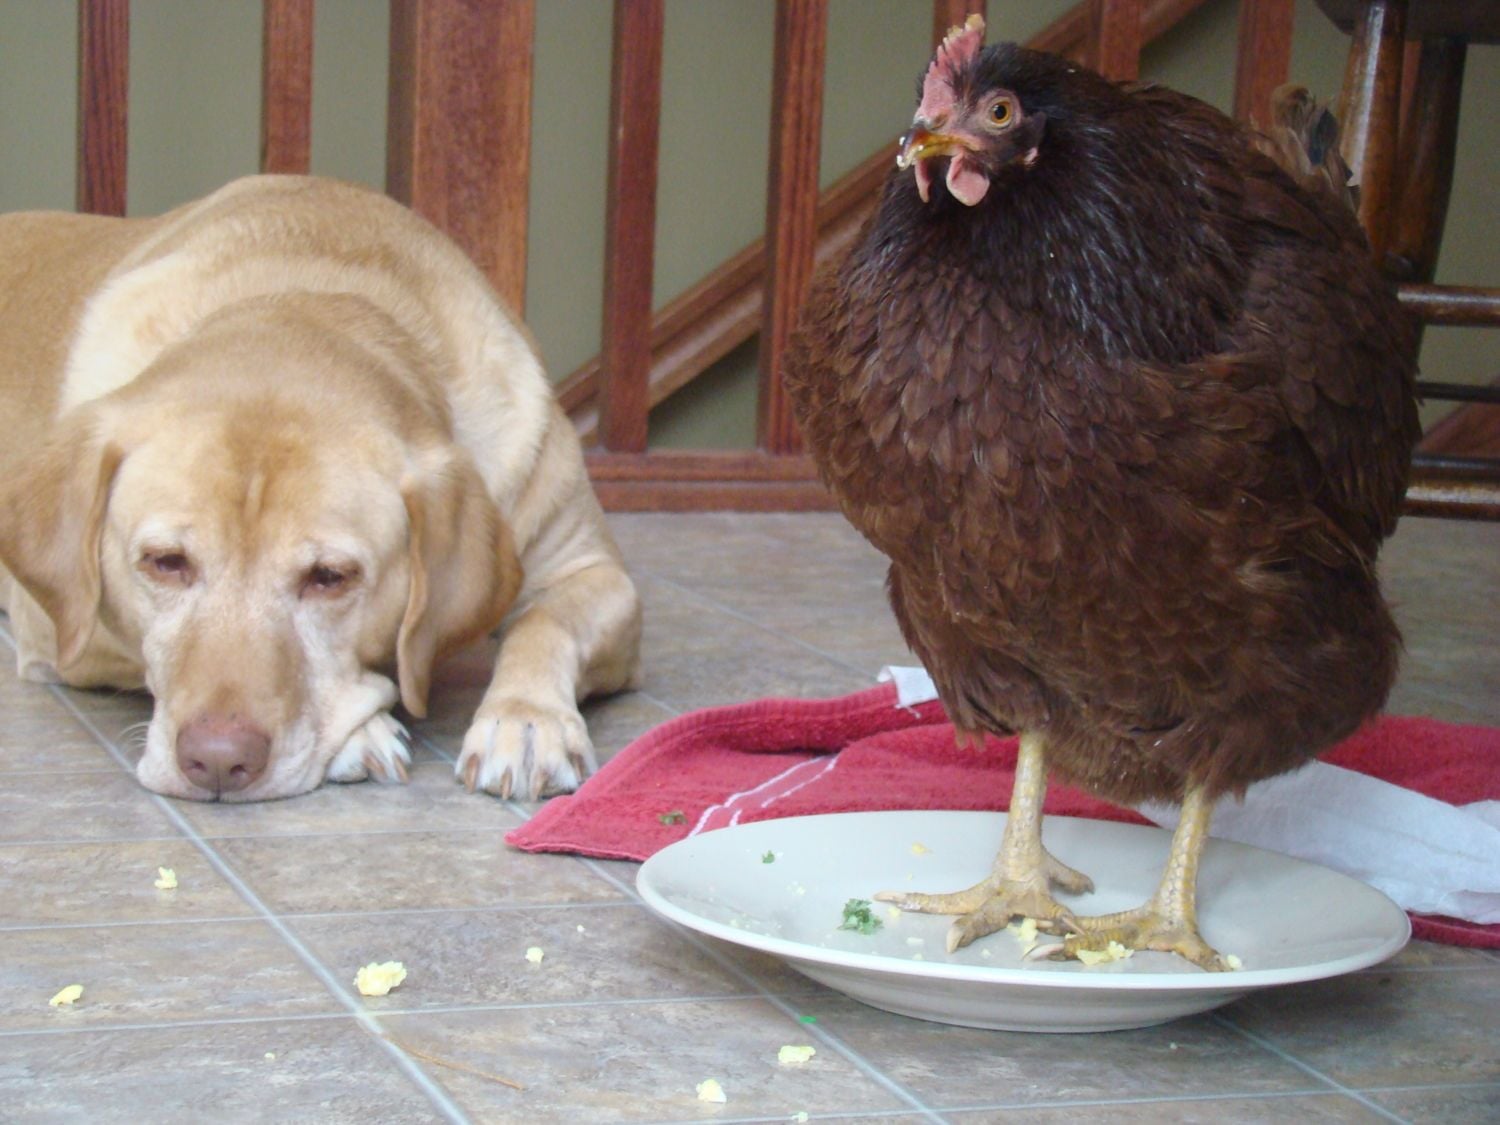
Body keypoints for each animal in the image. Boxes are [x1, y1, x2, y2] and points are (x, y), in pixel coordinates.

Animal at [0, 175, 641, 802]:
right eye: (165, 562)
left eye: (330, 577)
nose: (218, 761)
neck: (311, 291)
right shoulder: (57, 629)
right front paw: (362, 734)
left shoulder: (596, 575)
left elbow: (545, 623)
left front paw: (527, 720)